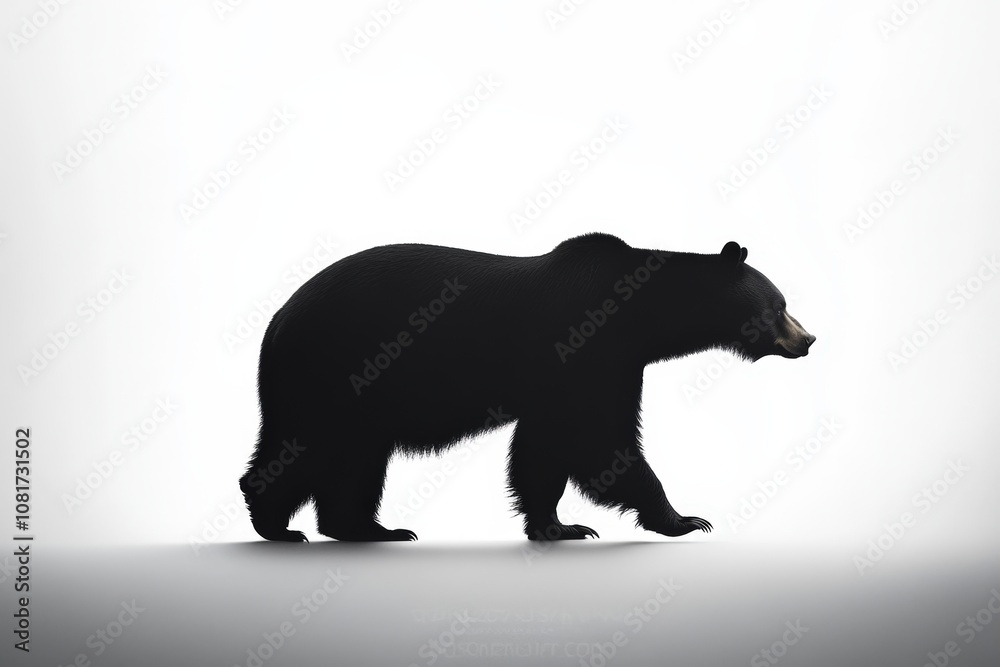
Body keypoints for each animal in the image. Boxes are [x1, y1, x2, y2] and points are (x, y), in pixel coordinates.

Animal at [239, 233, 815, 542]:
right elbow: (600, 442)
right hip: (332, 370)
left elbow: (545, 449)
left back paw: (371, 529)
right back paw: (278, 525)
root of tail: (278, 318)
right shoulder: (586, 348)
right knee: (307, 444)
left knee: (354, 459)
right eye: (779, 305)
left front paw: (559, 526)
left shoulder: (595, 367)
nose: (808, 339)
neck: (637, 315)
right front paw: (685, 519)